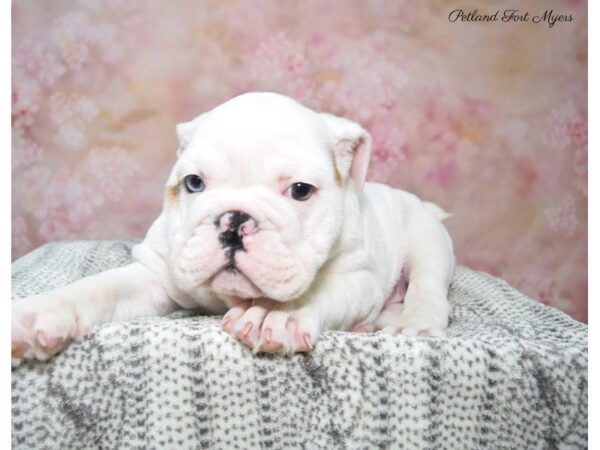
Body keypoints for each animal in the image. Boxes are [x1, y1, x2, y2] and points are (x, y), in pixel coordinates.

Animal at [10, 90, 454, 362]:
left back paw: (410, 323)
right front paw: (40, 313)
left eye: (300, 190)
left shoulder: (357, 279)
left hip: (427, 240)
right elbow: (97, 289)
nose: (233, 220)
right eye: (194, 183)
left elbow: (316, 292)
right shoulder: (154, 272)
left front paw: (275, 315)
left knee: (428, 288)